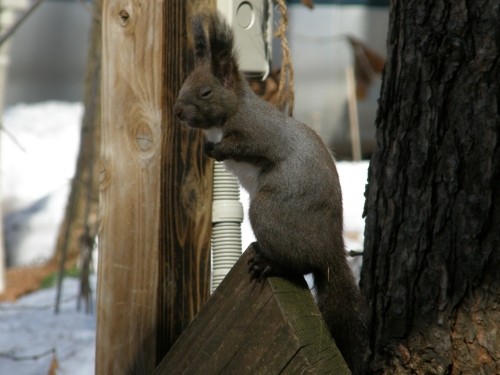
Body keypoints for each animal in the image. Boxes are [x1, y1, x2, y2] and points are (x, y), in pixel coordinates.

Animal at [174, 12, 370, 375]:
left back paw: (270, 264)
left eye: (206, 92)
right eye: (183, 86)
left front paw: (219, 150)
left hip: (267, 211)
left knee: (299, 264)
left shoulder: (260, 134)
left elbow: (247, 146)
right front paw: (209, 149)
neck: (231, 112)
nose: (178, 112)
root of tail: (331, 251)